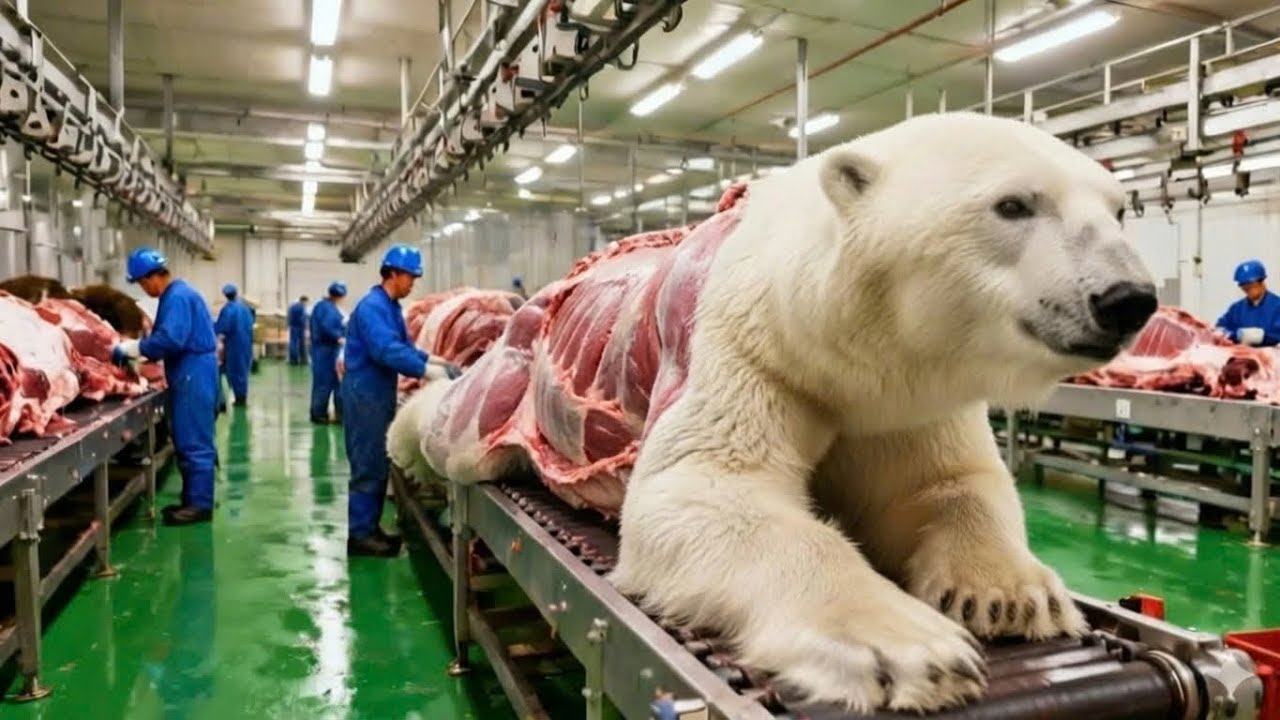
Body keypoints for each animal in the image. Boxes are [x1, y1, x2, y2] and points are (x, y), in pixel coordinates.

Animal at [393, 110, 1157, 713]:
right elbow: (702, 489)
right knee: (459, 426)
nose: (1128, 298)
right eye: (1013, 205)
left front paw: (1009, 595)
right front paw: (911, 648)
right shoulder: (748, 347)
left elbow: (944, 483)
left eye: (1120, 208)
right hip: (520, 369)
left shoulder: (907, 395)